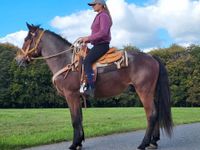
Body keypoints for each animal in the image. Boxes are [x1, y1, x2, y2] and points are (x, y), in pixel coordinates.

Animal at [15, 22, 173, 149]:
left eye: (26, 39)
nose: (18, 59)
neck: (65, 60)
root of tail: (151, 57)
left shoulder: (70, 95)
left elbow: (75, 120)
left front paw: (74, 144)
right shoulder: (78, 96)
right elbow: (79, 118)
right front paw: (79, 142)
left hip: (144, 91)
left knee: (151, 114)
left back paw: (143, 143)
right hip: (150, 92)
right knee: (156, 112)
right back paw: (153, 141)